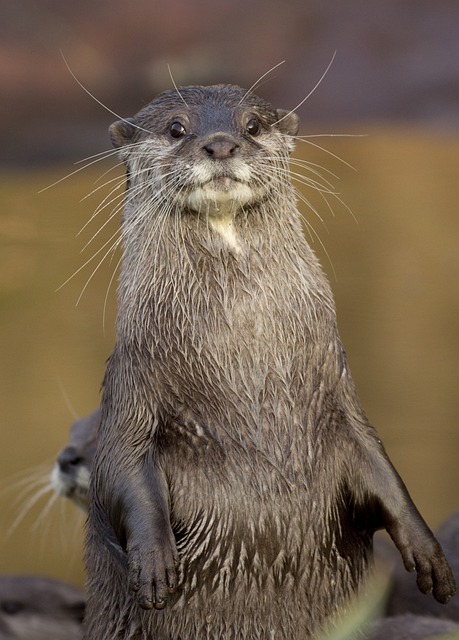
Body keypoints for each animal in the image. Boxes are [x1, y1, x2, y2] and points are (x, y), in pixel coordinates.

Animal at [82, 85, 456, 640]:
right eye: (176, 127)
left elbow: (382, 466)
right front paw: (152, 564)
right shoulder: (133, 391)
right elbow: (116, 467)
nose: (220, 143)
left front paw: (429, 553)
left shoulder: (339, 399)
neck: (249, 382)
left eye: (252, 124)